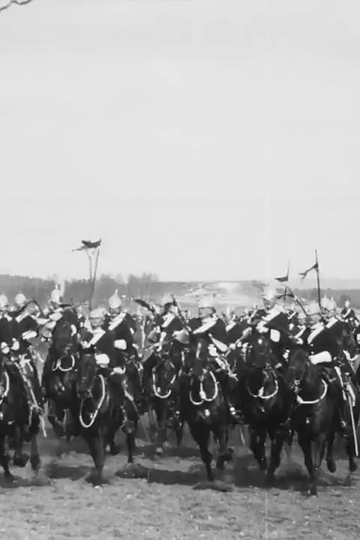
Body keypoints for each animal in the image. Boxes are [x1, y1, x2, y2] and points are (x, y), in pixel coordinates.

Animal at [76, 350, 138, 486]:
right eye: (77, 368)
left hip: (131, 422)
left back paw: (129, 468)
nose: (82, 391)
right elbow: (95, 454)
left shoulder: (102, 431)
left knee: (130, 445)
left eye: (92, 368)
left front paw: (98, 482)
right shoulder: (90, 433)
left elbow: (100, 454)